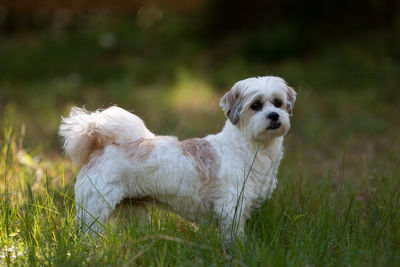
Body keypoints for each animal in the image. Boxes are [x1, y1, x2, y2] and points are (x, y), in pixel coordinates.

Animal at [60, 76, 296, 238]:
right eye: (256, 105)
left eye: (278, 103)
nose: (274, 116)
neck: (246, 148)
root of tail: (99, 148)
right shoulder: (231, 208)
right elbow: (234, 239)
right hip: (94, 210)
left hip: (132, 211)